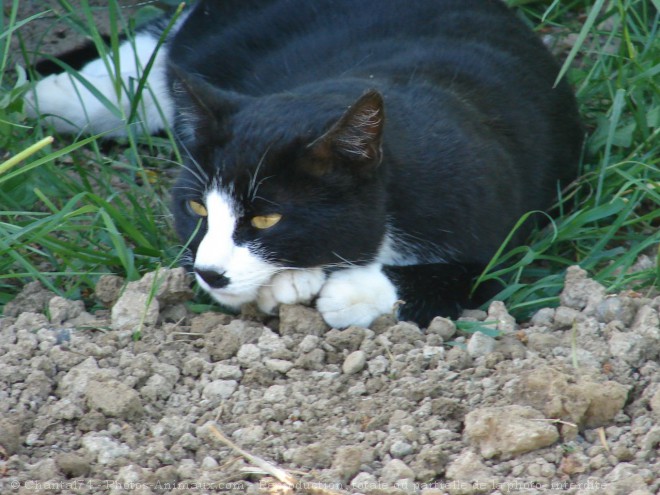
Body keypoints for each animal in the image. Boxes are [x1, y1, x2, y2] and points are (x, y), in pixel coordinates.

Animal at [27, 0, 584, 330]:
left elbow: (463, 276)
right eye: (197, 211)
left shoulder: (494, 215)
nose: (209, 273)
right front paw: (294, 283)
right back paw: (37, 96)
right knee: (145, 62)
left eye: (266, 218)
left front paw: (348, 292)